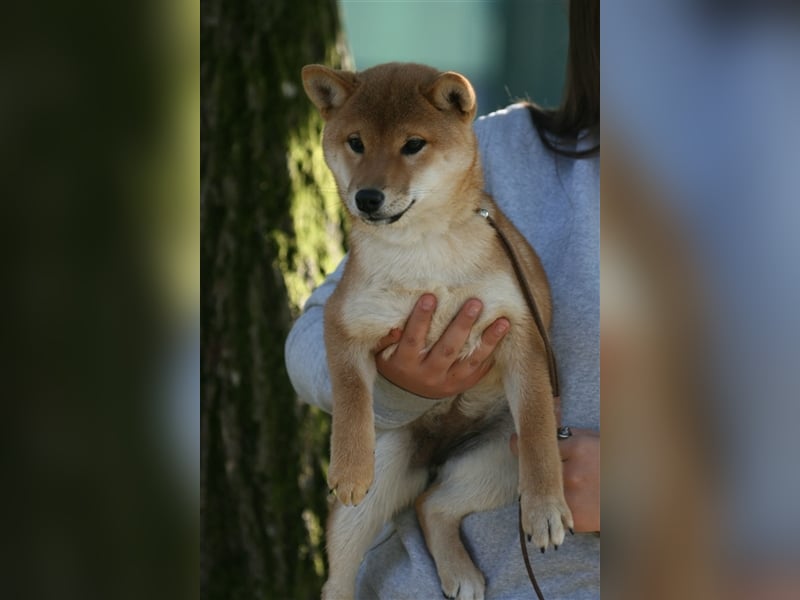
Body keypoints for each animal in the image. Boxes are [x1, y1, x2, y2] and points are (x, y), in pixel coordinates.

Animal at [302, 62, 576, 600]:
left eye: (413, 144)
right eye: (355, 142)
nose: (367, 197)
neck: (425, 254)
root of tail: (438, 450)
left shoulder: (521, 332)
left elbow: (537, 429)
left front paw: (545, 509)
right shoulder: (342, 320)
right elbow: (349, 394)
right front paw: (348, 465)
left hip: (497, 458)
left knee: (432, 503)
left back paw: (460, 571)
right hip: (384, 470)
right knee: (341, 573)